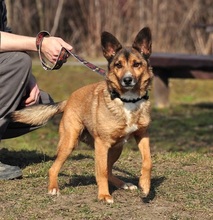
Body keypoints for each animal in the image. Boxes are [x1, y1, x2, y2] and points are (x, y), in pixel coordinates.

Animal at [10, 26, 153, 204]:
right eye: (118, 65)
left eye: (137, 64)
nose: (127, 80)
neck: (128, 100)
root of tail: (68, 100)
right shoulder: (102, 144)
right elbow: (101, 172)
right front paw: (104, 195)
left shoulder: (142, 135)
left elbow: (147, 161)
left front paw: (145, 185)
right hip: (70, 142)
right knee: (54, 168)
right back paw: (53, 188)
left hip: (116, 147)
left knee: (109, 170)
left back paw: (123, 184)